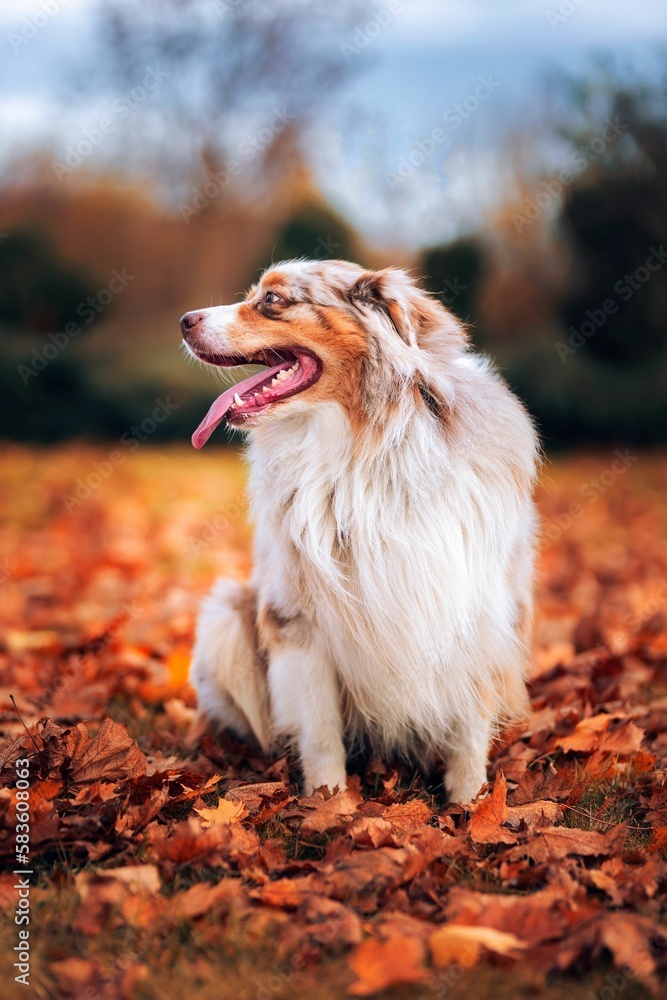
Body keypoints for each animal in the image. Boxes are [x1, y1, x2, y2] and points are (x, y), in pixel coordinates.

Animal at [180, 260, 540, 804]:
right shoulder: (298, 619)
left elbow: (469, 727)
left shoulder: (477, 604)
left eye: (273, 300)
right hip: (226, 616)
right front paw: (329, 803)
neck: (365, 450)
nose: (184, 320)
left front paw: (470, 804)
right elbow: (320, 728)